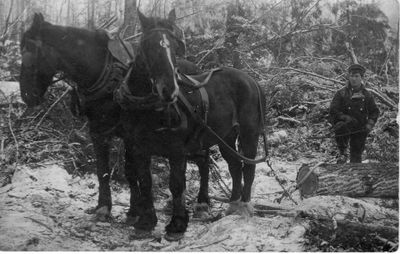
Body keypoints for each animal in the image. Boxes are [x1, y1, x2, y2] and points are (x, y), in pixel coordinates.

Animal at [18, 13, 206, 223]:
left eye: (28, 50)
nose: (26, 95)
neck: (104, 72)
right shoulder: (98, 131)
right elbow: (103, 171)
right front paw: (104, 206)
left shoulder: (131, 136)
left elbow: (131, 172)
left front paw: (135, 210)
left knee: (203, 160)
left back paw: (203, 203)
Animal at [115, 9, 266, 240]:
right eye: (146, 45)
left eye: (175, 46)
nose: (169, 90)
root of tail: (251, 80)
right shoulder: (138, 148)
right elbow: (145, 182)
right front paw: (146, 222)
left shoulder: (177, 151)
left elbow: (177, 185)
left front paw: (177, 225)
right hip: (226, 137)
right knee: (234, 167)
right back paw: (233, 205)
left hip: (249, 134)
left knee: (248, 166)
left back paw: (245, 206)